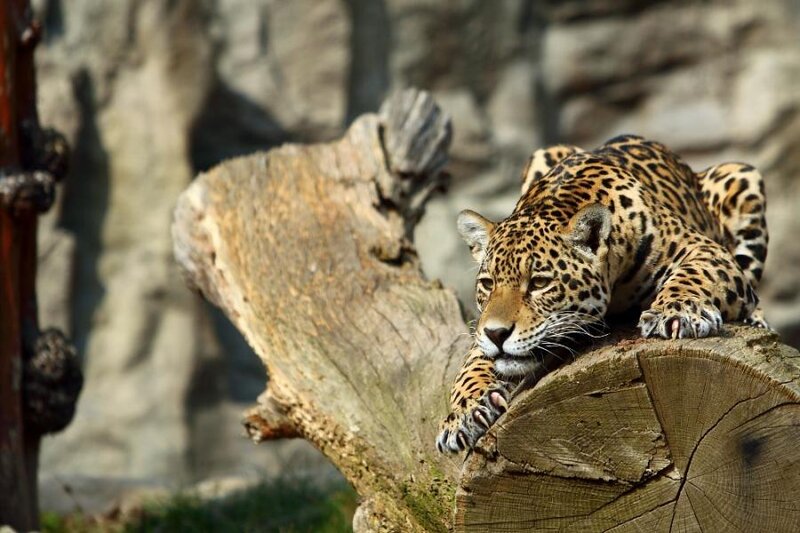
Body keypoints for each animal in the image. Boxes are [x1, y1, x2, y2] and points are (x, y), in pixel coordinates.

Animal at [436, 134, 769, 454]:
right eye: (488, 284)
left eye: (539, 283)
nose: (497, 334)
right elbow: (472, 359)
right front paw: (462, 412)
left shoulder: (705, 249)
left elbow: (692, 275)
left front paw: (676, 311)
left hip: (742, 176)